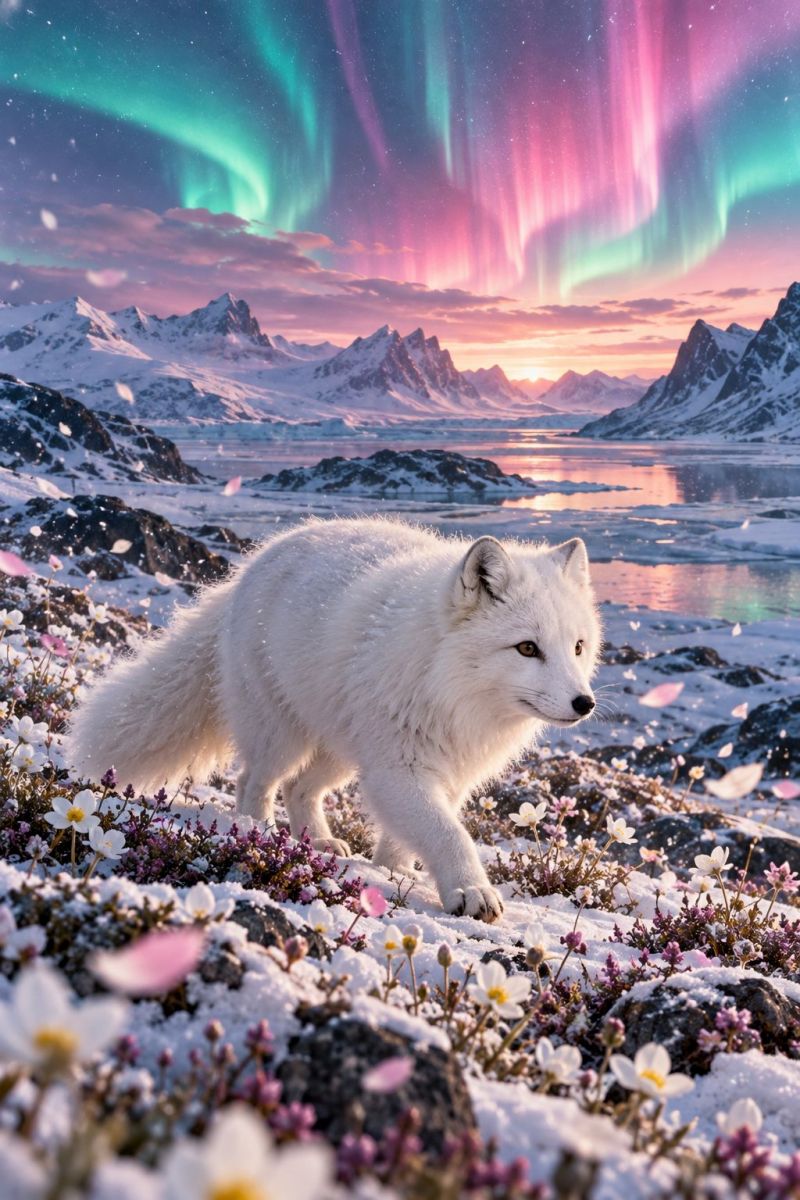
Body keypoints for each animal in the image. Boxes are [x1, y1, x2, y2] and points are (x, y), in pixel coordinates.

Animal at [69, 517, 601, 923]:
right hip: (283, 737)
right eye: (527, 648)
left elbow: (413, 834)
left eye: (577, 646)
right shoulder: (397, 770)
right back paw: (259, 835)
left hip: (341, 751)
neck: (449, 686)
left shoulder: (448, 774)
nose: (585, 703)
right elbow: (450, 834)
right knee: (254, 782)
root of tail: (252, 566)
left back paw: (318, 842)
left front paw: (396, 872)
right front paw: (470, 891)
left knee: (299, 789)